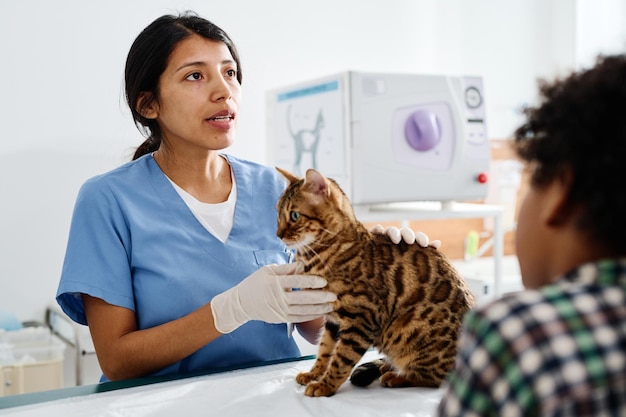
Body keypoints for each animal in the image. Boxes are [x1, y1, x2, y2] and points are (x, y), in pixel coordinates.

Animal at [274, 167, 472, 396]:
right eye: (278, 214)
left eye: (294, 216)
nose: (278, 235)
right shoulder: (332, 318)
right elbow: (324, 350)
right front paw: (313, 373)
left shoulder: (361, 318)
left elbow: (341, 359)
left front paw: (325, 385)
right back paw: (387, 367)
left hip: (411, 334)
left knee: (435, 378)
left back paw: (396, 376)